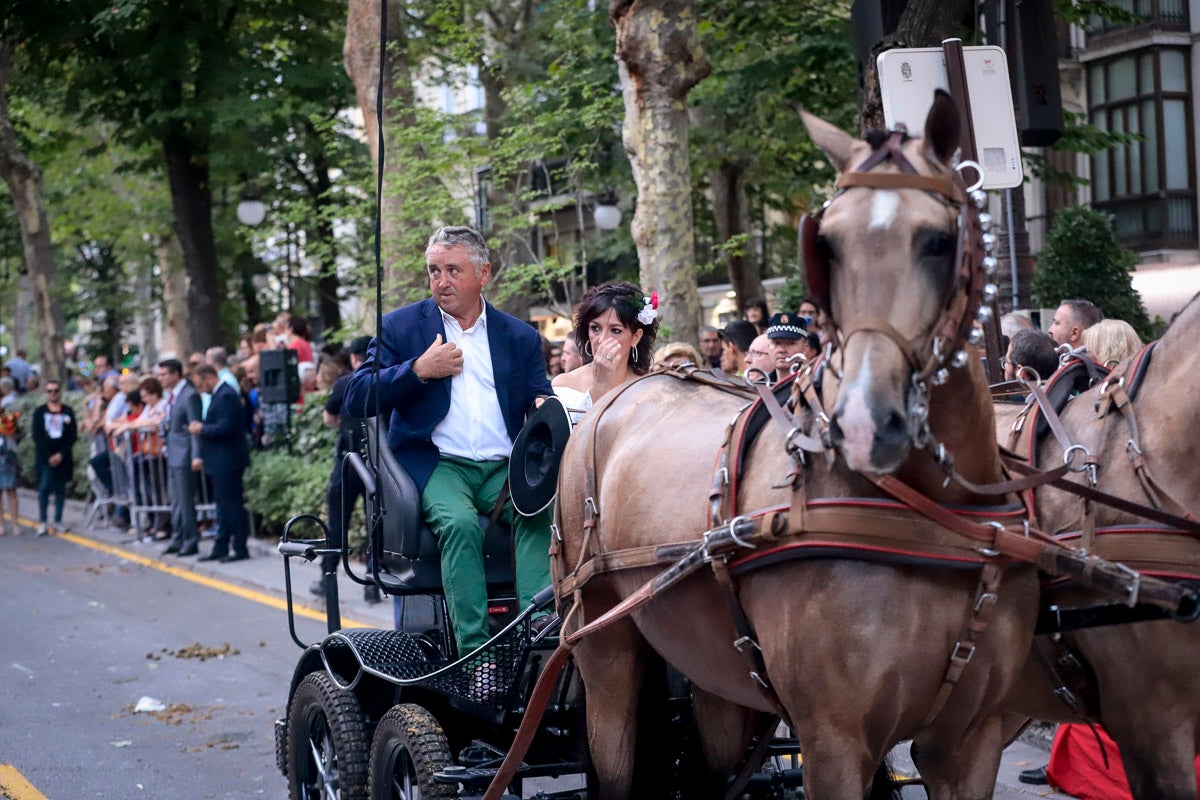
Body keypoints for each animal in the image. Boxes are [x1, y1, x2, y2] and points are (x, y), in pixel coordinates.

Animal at [556, 95, 1036, 800]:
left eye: (939, 242)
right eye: (826, 244)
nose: (866, 421)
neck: (926, 516)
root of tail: (619, 393)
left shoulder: (970, 741)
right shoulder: (834, 738)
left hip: (715, 673)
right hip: (602, 644)